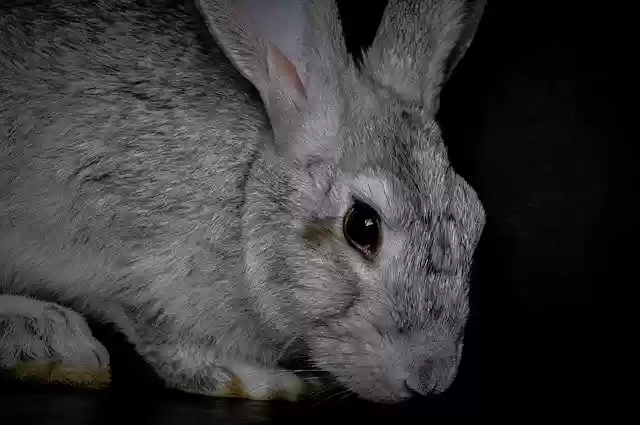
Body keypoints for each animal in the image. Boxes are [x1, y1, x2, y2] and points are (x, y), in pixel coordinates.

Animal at [0, 0, 486, 403]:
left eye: (476, 219)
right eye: (362, 226)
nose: (429, 378)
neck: (245, 196)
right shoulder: (138, 266)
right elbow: (176, 349)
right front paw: (268, 382)